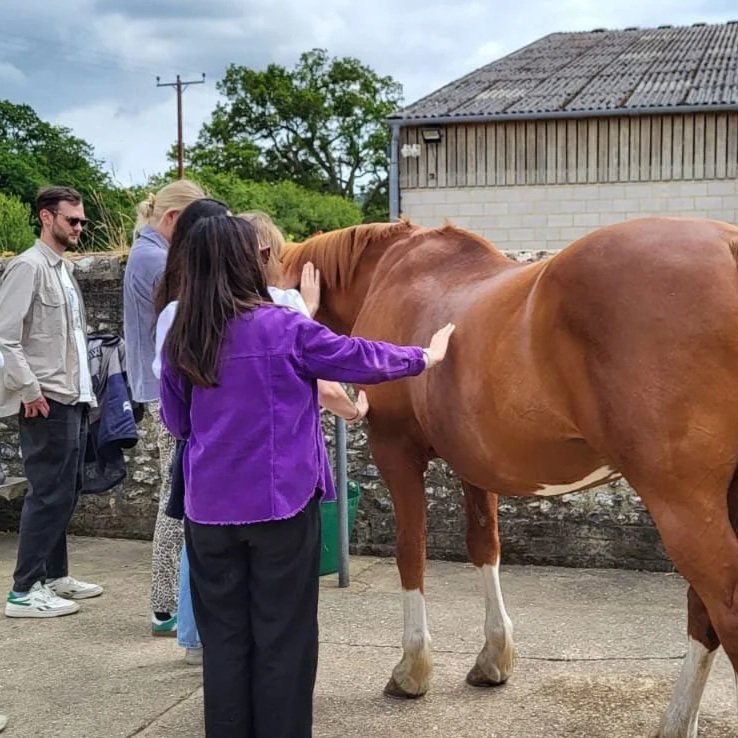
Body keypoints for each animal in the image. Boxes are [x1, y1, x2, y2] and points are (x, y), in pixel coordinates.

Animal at [282, 216, 738, 738]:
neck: (391, 274)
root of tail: (728, 244)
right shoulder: (475, 462)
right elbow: (485, 547)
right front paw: (493, 658)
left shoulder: (395, 449)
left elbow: (411, 551)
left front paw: (412, 669)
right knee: (704, 611)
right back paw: (677, 722)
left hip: (683, 504)